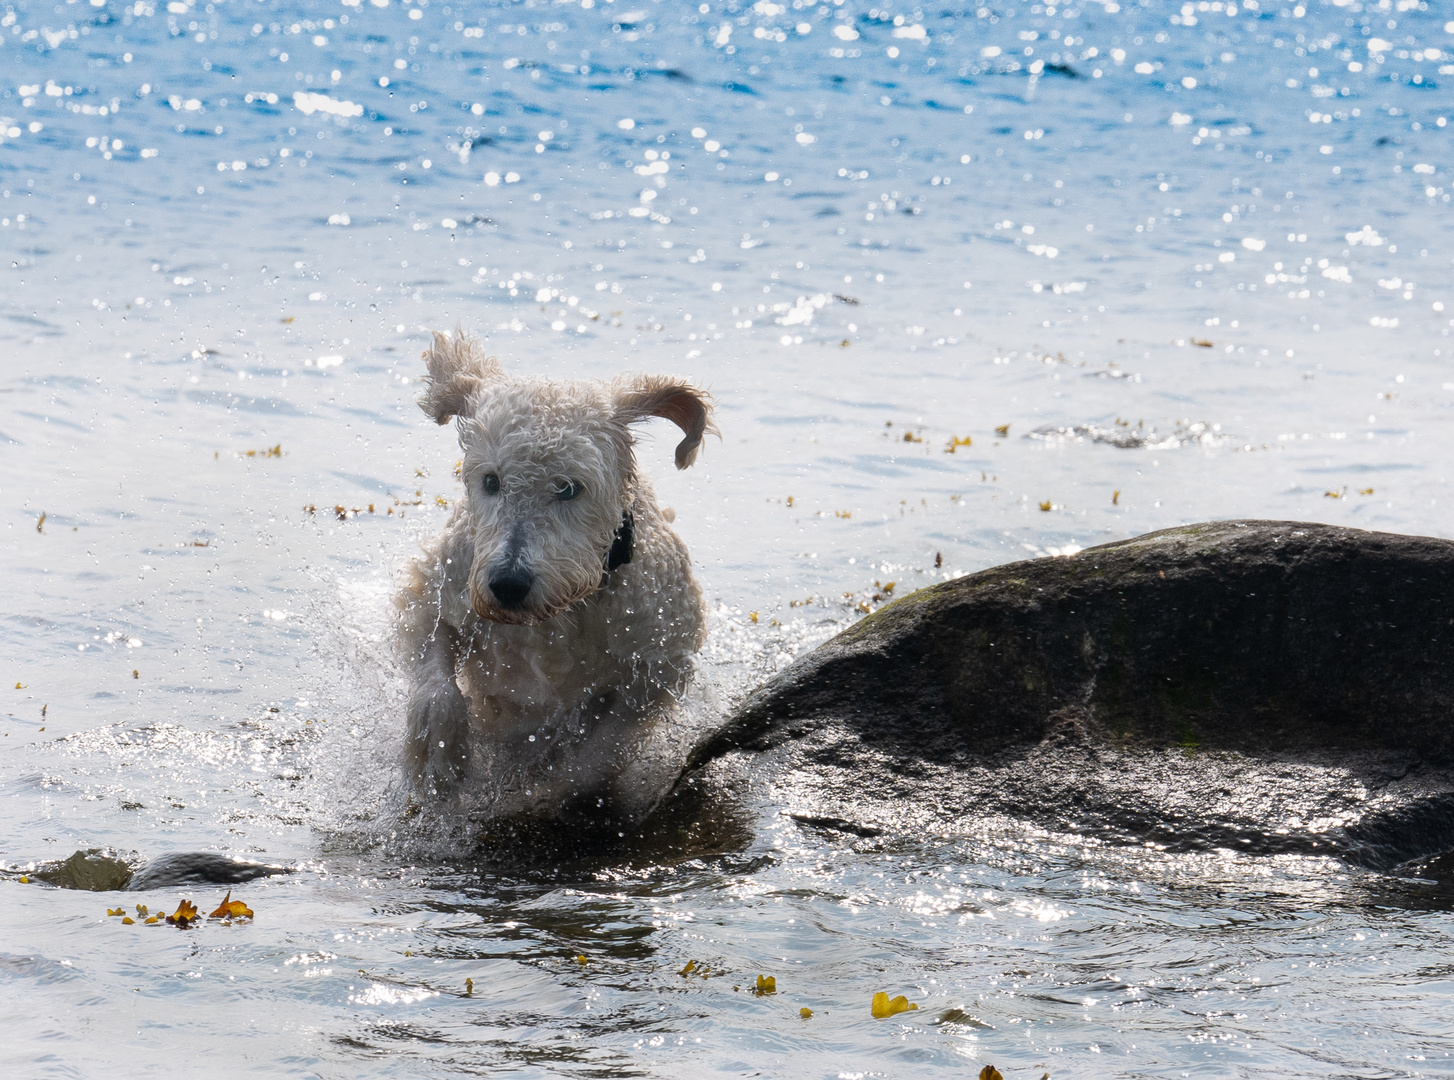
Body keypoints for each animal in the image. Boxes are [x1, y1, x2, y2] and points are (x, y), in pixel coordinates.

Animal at [398, 329, 715, 819]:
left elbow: (597, 753)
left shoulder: (660, 659)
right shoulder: (441, 583)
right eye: (491, 481)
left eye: (568, 488)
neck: (557, 613)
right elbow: (435, 666)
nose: (507, 585)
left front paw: (537, 796)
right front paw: (439, 751)